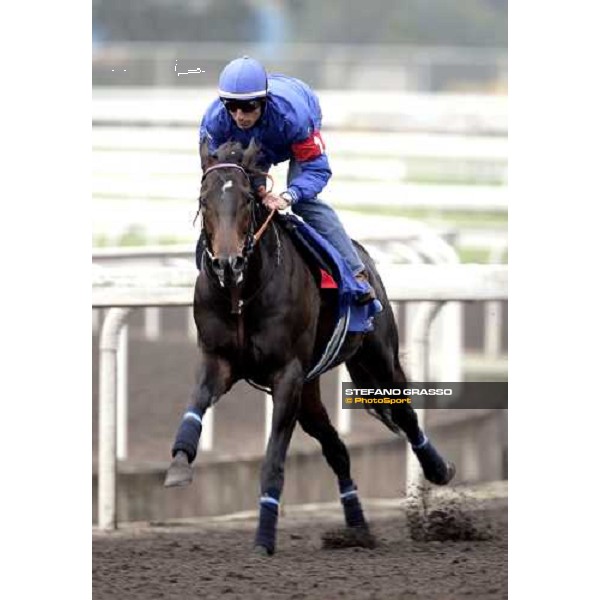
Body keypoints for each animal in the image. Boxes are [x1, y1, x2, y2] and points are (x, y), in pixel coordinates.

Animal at [164, 139, 454, 552]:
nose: (227, 263)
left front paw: (264, 536)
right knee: (337, 449)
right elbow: (196, 405)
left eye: (248, 200)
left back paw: (438, 468)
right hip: (310, 392)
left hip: (378, 358)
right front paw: (178, 464)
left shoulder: (287, 374)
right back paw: (357, 527)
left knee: (405, 415)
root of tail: (364, 256)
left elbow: (273, 457)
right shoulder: (218, 360)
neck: (242, 294)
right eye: (205, 199)